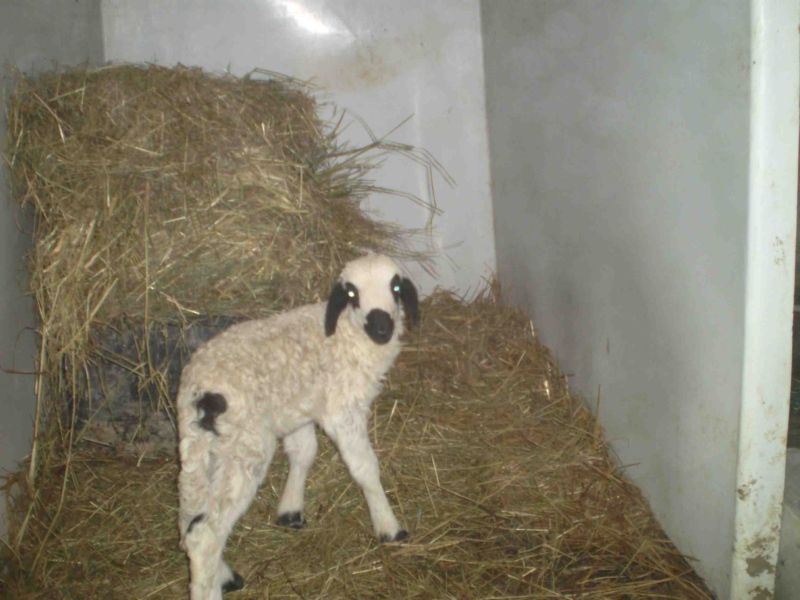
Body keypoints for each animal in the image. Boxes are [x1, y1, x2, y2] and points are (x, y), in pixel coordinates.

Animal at [176, 253, 419, 599]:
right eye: (351, 294)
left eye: (396, 287)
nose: (381, 327)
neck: (346, 334)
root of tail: (201, 393)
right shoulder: (343, 410)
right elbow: (364, 468)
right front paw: (389, 528)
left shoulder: (296, 410)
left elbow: (303, 452)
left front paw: (290, 511)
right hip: (243, 449)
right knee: (205, 533)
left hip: (201, 445)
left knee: (191, 514)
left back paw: (221, 574)